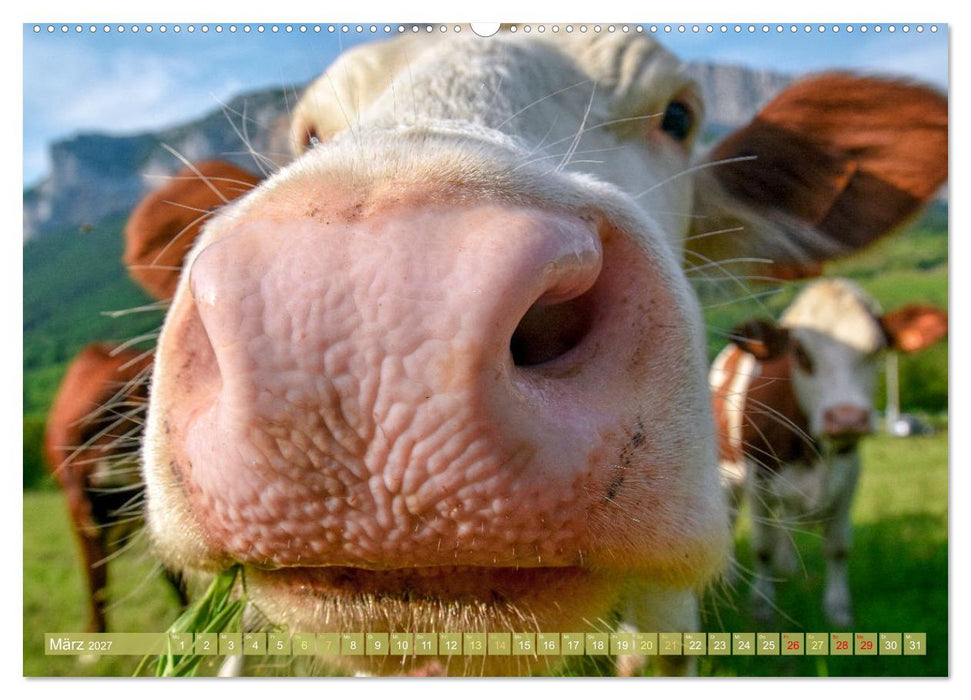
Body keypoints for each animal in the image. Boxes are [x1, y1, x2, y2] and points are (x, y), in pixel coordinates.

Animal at [711, 278, 947, 626]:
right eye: (800, 352)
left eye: (877, 349)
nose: (847, 417)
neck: (812, 451)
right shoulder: (758, 483)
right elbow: (762, 547)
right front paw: (763, 605)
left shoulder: (848, 477)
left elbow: (837, 547)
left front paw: (838, 610)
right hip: (727, 474)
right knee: (728, 519)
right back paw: (728, 576)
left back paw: (787, 567)